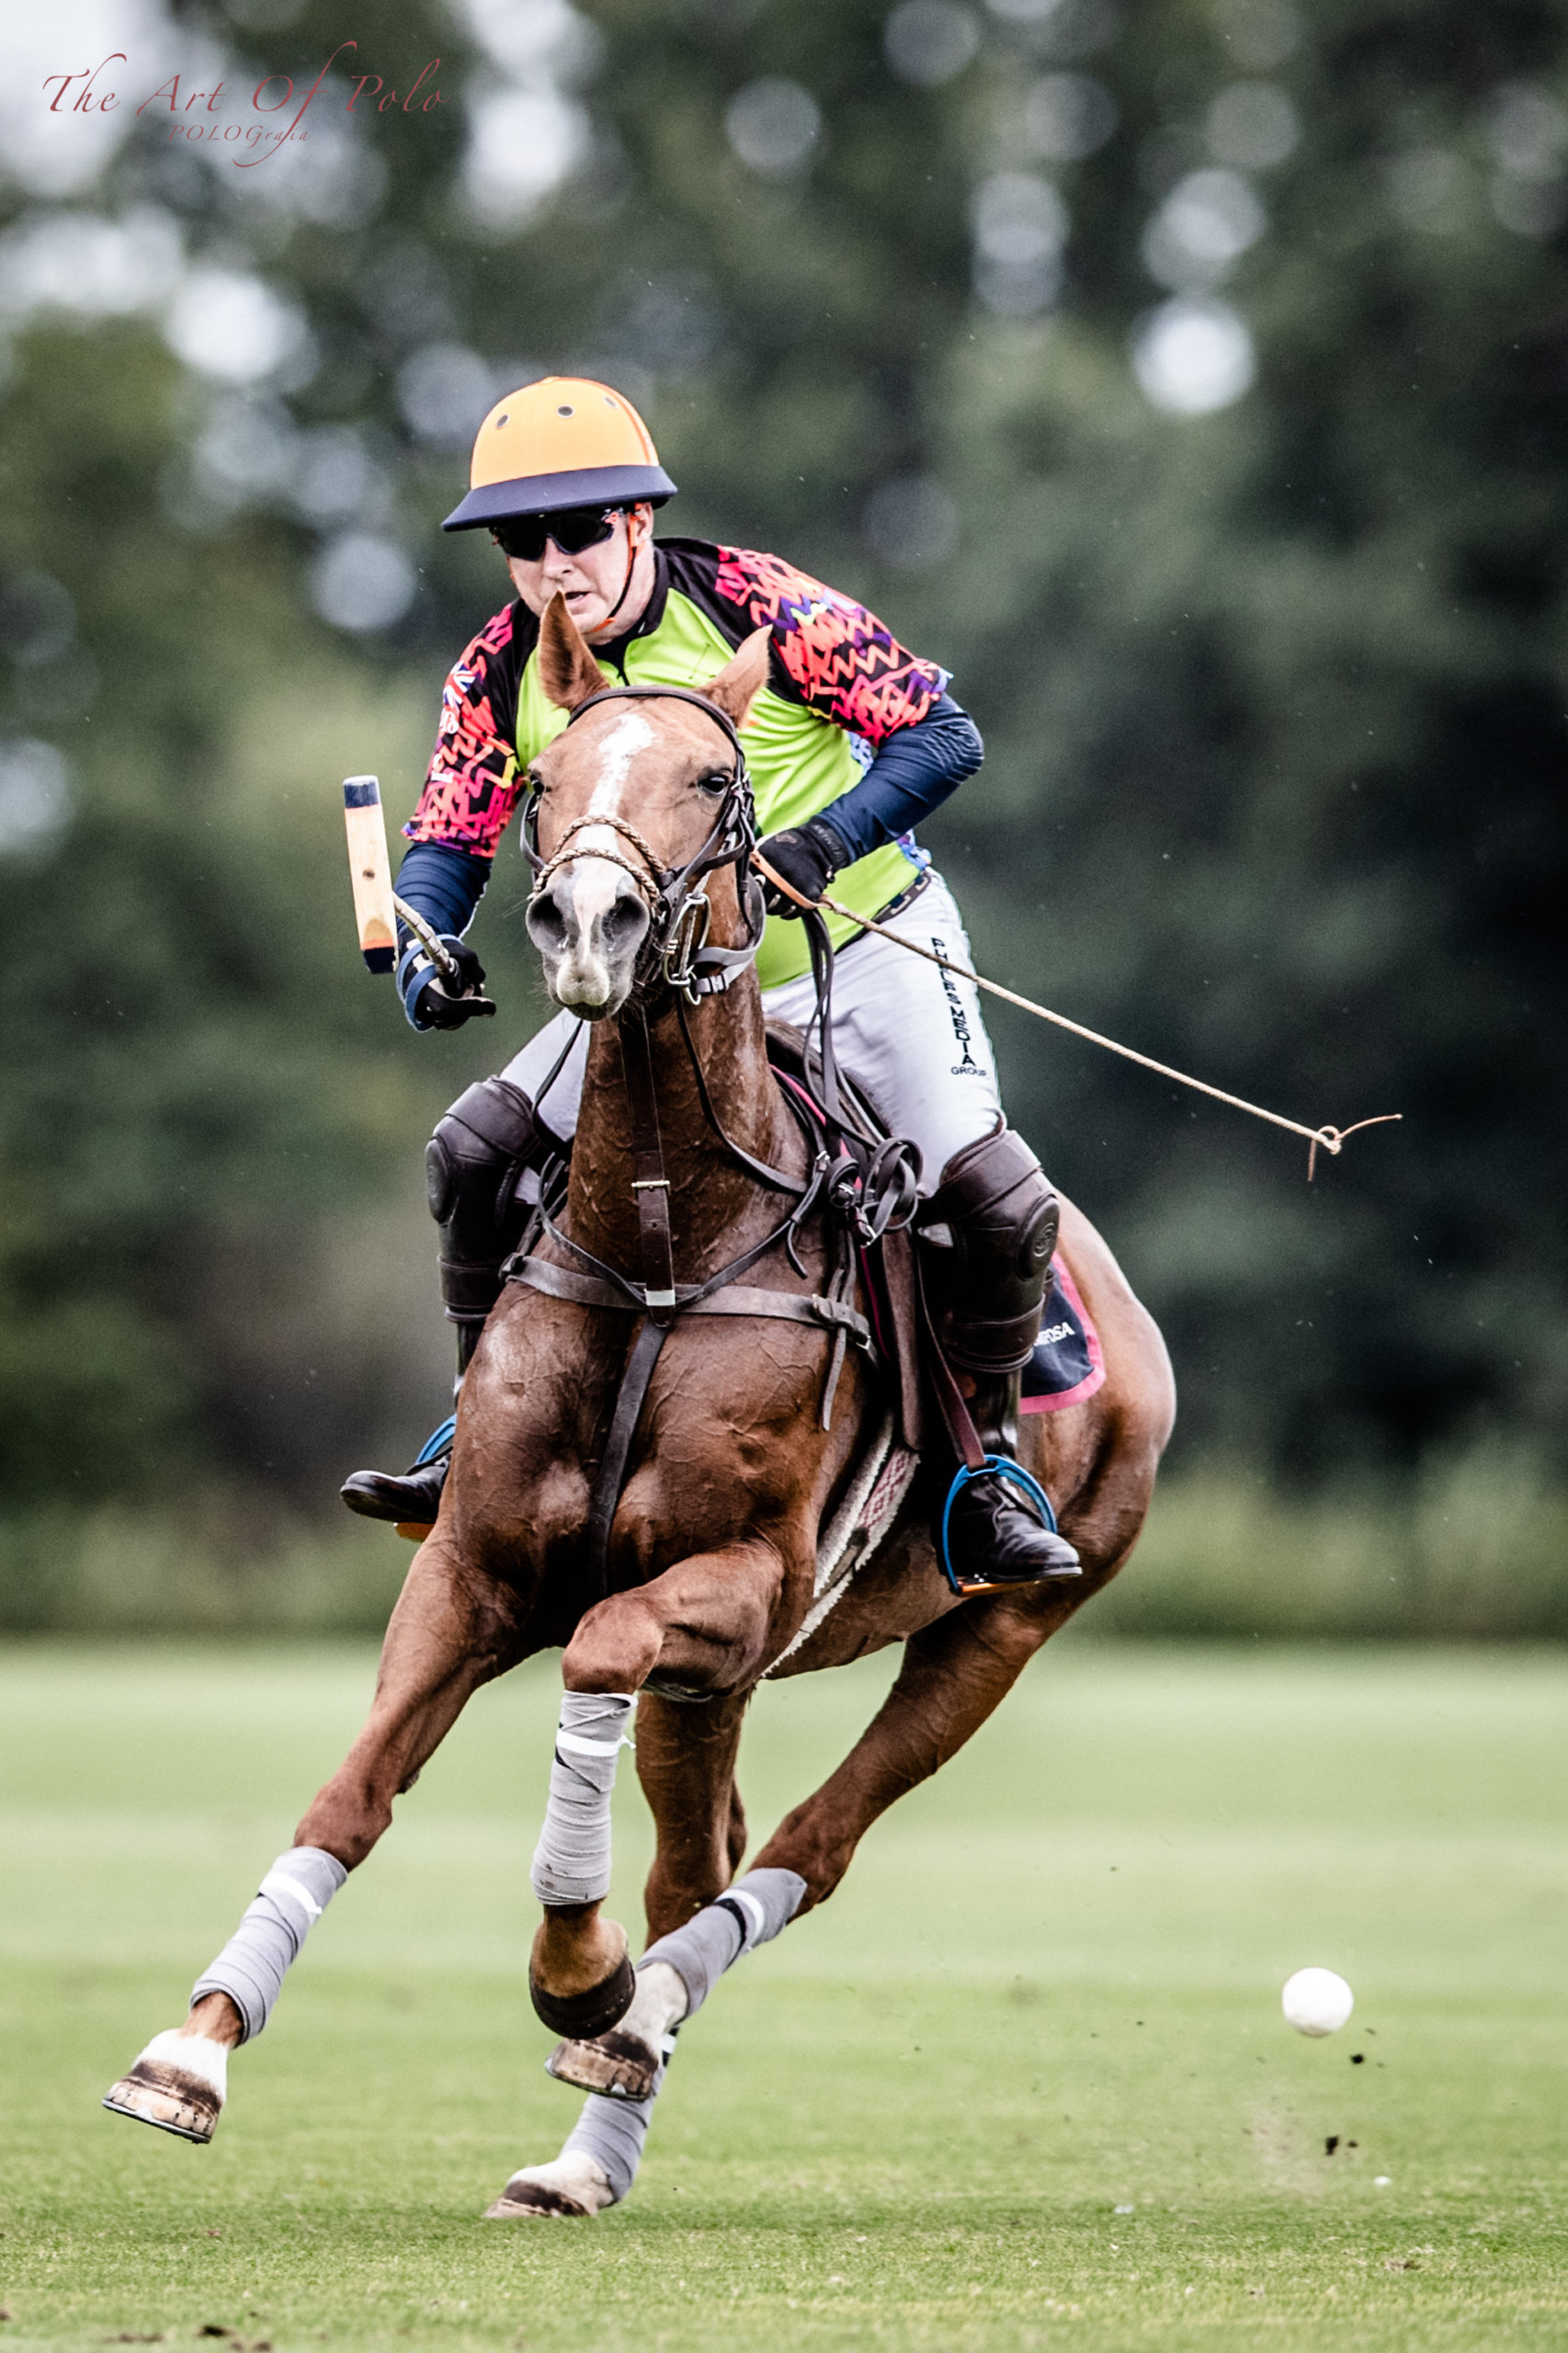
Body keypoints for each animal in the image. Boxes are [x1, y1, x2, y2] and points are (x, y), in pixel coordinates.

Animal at [103, 597, 1167, 2211]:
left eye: (716, 783)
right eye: (541, 784)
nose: (589, 925)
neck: (669, 1238)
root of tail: (1127, 1316)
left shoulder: (738, 1582)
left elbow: (597, 1659)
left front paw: (579, 1976)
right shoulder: (473, 1567)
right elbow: (353, 1793)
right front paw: (192, 2051)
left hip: (997, 1627)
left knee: (794, 1848)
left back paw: (632, 2022)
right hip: (719, 1681)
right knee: (698, 1848)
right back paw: (588, 2142)